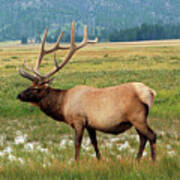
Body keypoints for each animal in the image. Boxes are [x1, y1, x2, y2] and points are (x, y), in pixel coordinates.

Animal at [17, 21, 157, 161]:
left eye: (37, 89)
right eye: (30, 85)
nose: (19, 95)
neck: (63, 106)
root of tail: (150, 92)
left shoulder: (79, 120)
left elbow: (77, 144)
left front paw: (76, 162)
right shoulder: (90, 124)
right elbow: (94, 143)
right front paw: (100, 159)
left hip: (137, 116)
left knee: (152, 135)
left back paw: (153, 160)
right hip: (138, 119)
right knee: (143, 138)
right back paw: (137, 160)